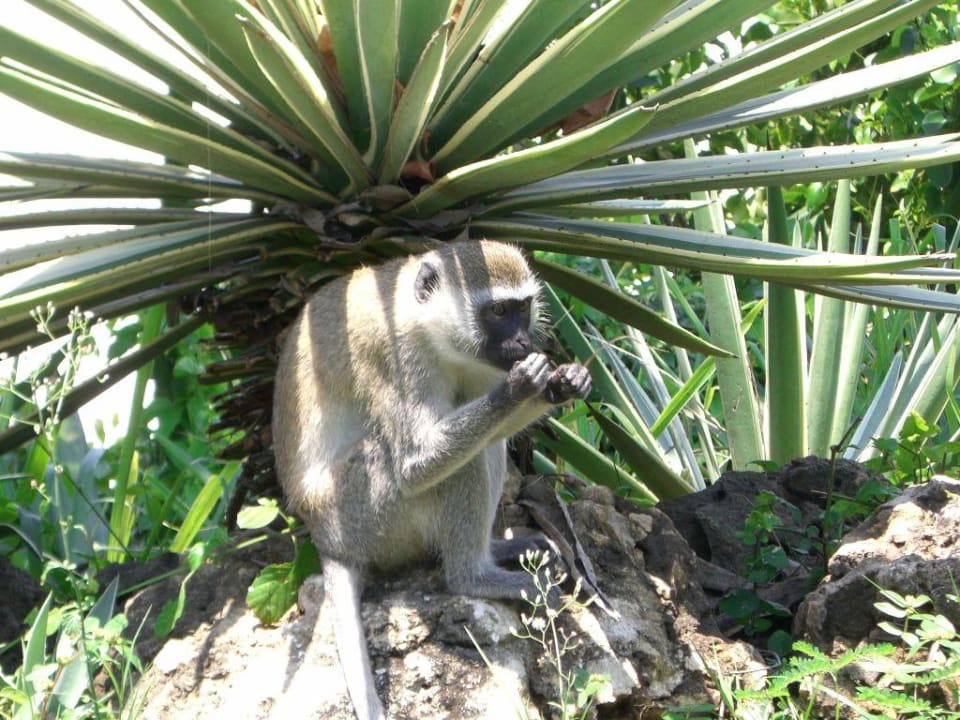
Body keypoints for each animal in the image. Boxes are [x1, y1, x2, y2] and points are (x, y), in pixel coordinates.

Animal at [272, 239, 591, 720]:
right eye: (498, 311)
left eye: (522, 308)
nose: (521, 341)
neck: (425, 323)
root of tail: (327, 541)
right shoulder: (394, 354)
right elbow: (415, 464)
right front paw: (518, 388)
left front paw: (564, 381)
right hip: (365, 511)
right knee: (457, 466)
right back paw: (472, 577)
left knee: (485, 446)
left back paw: (495, 550)